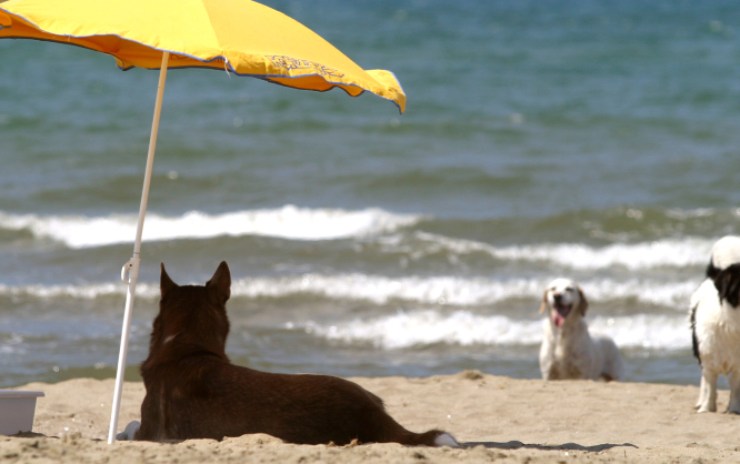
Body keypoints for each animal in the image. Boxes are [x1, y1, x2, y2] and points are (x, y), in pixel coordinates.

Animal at [688, 236, 740, 414]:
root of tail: (714, 275)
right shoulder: (708, 359)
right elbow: (710, 387)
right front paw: (706, 408)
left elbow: (735, 388)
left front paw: (734, 409)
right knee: (704, 381)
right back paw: (701, 403)